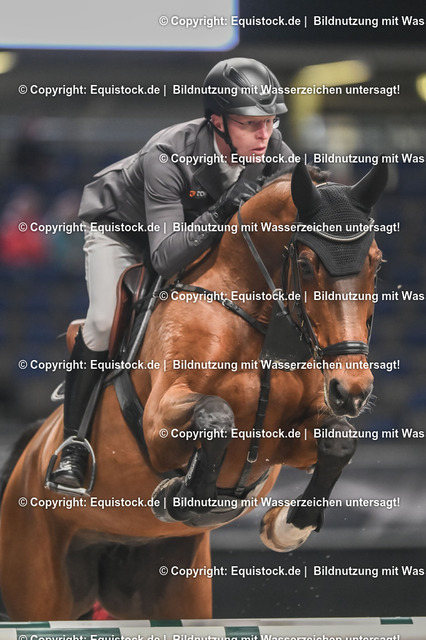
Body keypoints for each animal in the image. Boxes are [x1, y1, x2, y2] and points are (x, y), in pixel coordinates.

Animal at [0, 160, 388, 621]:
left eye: (376, 264)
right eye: (308, 266)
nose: (352, 390)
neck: (256, 316)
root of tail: (31, 451)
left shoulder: (285, 441)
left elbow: (339, 442)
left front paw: (286, 527)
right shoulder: (158, 424)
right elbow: (216, 416)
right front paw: (186, 497)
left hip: (172, 588)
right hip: (41, 585)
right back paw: (71, 466)